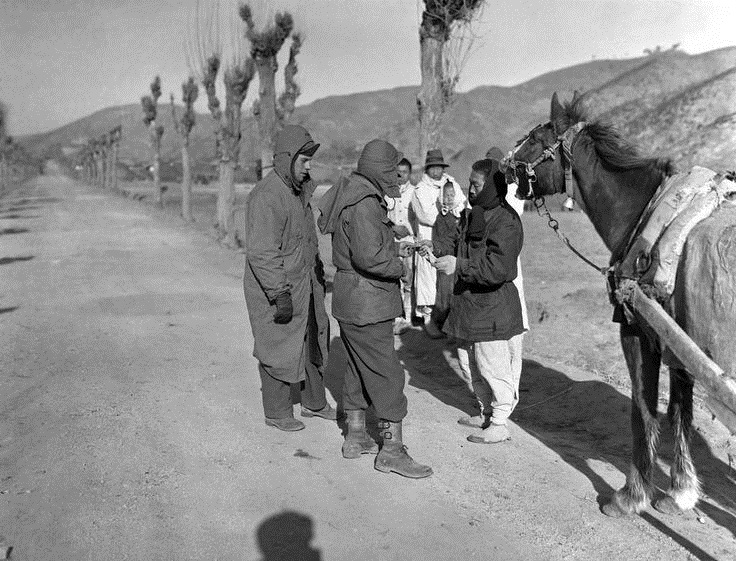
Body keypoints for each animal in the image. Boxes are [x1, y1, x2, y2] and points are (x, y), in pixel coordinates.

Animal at [508, 91, 736, 516]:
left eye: (534, 138)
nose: (500, 168)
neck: (643, 212)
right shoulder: (678, 342)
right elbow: (680, 411)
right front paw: (679, 492)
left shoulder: (637, 331)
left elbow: (642, 409)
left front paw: (631, 494)